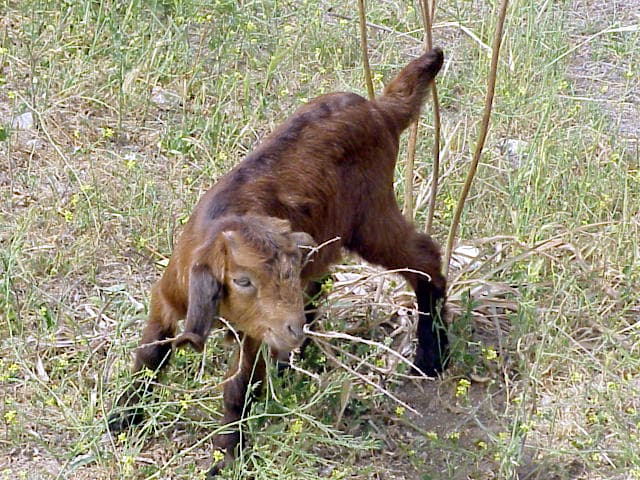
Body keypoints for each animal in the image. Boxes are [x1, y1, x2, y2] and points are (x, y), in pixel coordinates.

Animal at [108, 47, 448, 477]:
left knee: (425, 257)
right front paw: (122, 419)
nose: (291, 330)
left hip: (372, 216)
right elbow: (148, 357)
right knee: (325, 278)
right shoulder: (168, 299)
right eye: (242, 280)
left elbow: (238, 388)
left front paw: (227, 456)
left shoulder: (256, 332)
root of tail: (378, 109)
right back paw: (300, 359)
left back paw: (431, 358)